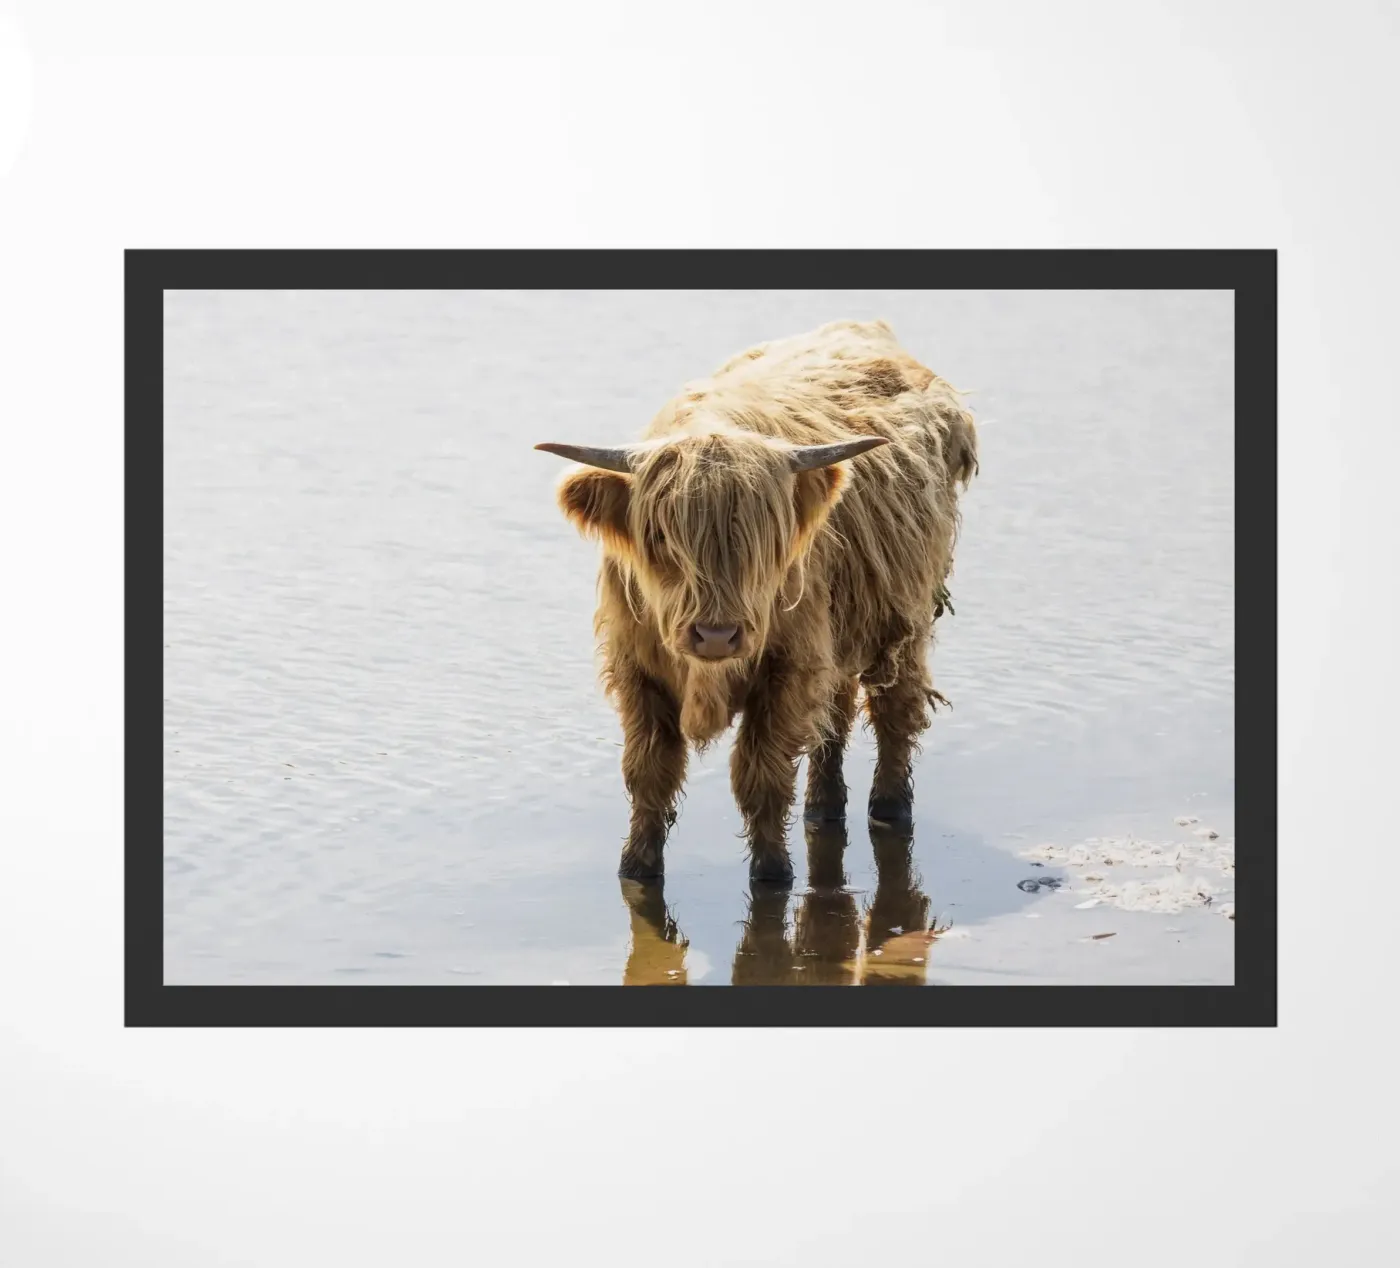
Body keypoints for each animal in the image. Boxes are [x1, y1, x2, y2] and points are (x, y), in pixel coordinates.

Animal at [537, 319, 978, 883]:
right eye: (660, 537)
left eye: (763, 541)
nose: (716, 634)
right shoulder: (637, 669)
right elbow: (649, 773)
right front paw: (636, 866)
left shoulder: (789, 666)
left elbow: (762, 776)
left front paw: (772, 873)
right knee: (833, 717)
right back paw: (823, 807)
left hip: (906, 617)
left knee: (895, 710)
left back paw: (889, 807)